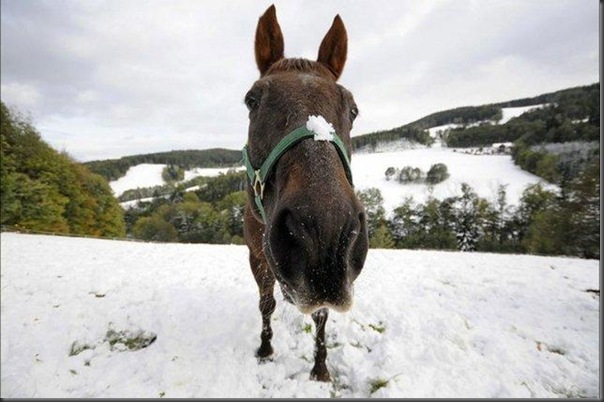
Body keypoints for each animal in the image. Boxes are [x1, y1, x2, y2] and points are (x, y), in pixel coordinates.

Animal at [242, 5, 368, 384]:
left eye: (352, 108)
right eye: (252, 100)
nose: (324, 231)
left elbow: (322, 315)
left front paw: (320, 367)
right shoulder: (256, 256)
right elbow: (265, 303)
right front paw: (265, 348)